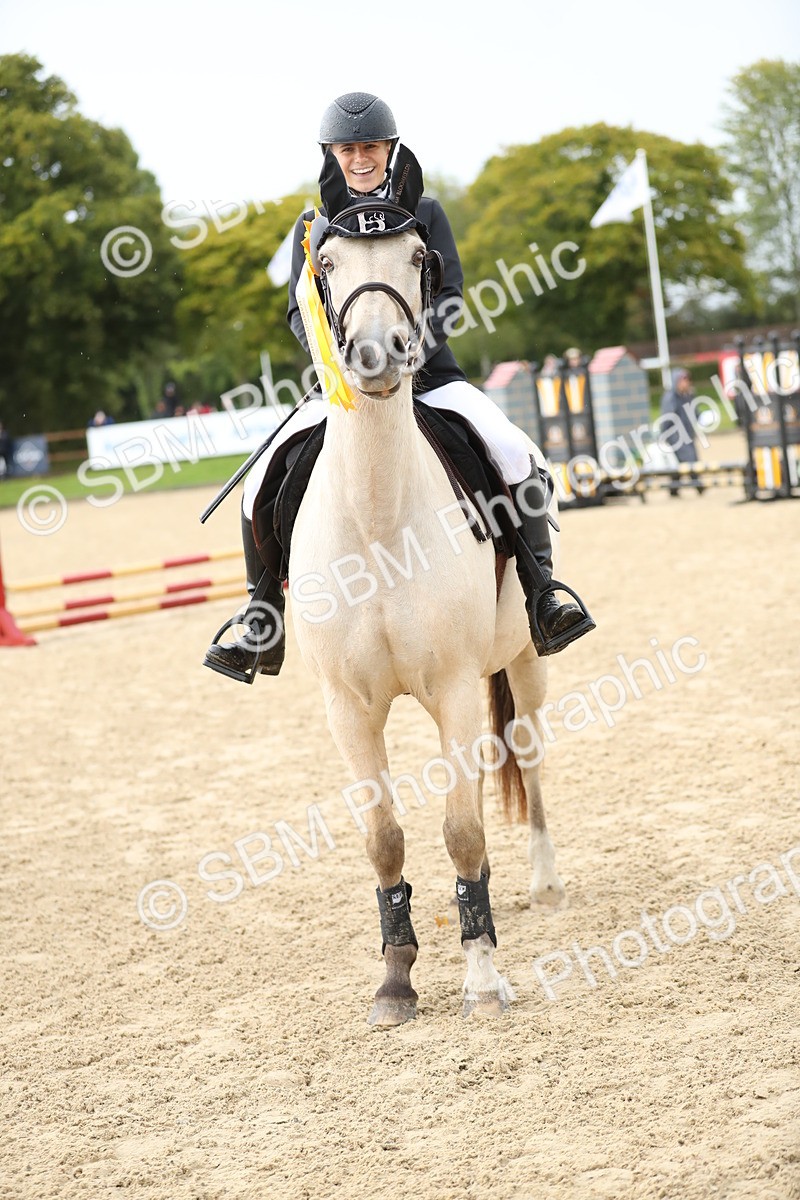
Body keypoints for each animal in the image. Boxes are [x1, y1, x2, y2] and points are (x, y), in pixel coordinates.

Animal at [288, 152, 566, 1025]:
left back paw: (542, 881)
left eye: (419, 257)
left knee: (527, 755)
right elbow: (385, 838)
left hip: (523, 660)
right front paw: (395, 979)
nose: (377, 355)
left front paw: (481, 977)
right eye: (326, 264)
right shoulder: (347, 706)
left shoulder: (451, 687)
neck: (379, 521)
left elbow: (463, 831)